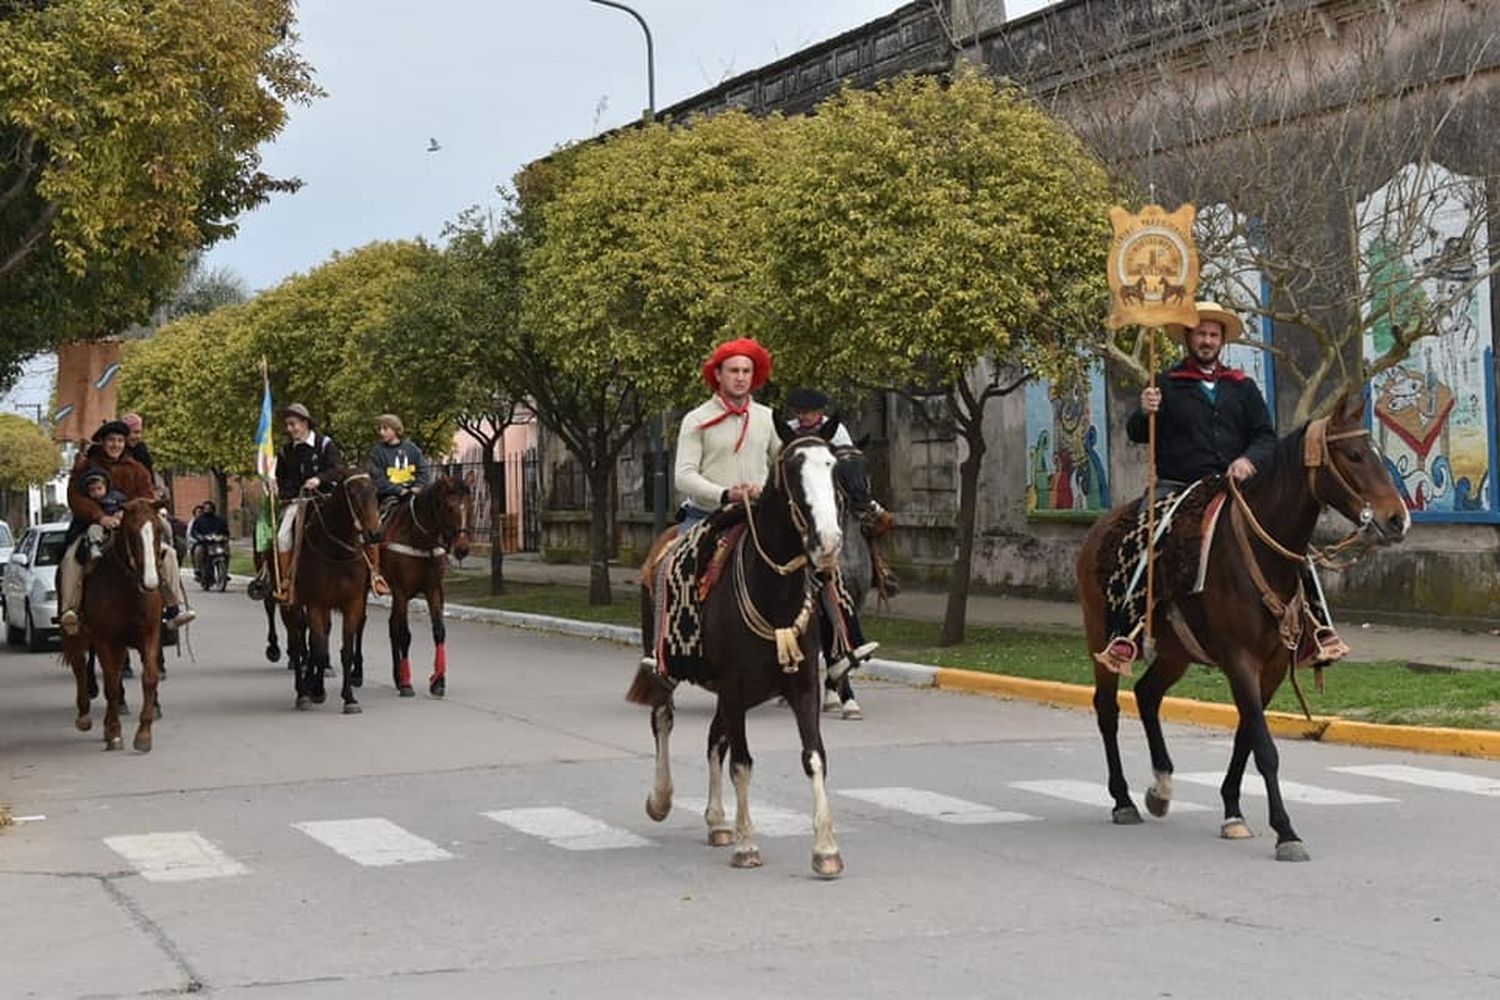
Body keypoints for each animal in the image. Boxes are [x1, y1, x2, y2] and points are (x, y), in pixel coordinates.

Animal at [63, 500, 168, 749]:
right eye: (130, 532)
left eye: (159, 530)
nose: (151, 582)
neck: (128, 588)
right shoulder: (104, 639)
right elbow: (110, 684)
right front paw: (114, 732)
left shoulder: (150, 634)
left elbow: (149, 678)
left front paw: (144, 733)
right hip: (77, 635)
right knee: (80, 668)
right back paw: (84, 716)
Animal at [283, 476, 384, 710]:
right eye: (353, 494)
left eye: (375, 492)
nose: (375, 534)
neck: (336, 552)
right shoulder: (316, 603)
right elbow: (318, 649)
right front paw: (315, 691)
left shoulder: (353, 603)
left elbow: (344, 650)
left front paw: (349, 698)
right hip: (293, 604)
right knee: (297, 640)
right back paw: (303, 690)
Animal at [381, 476, 468, 695]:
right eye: (449, 507)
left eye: (468, 505)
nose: (463, 549)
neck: (419, 540)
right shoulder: (401, 592)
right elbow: (404, 634)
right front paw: (406, 683)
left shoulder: (434, 590)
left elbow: (439, 631)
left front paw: (438, 680)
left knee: (391, 625)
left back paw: (396, 677)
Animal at [627, 422, 852, 875]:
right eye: (792, 469)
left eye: (834, 467)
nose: (828, 542)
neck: (773, 593)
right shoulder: (733, 685)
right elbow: (743, 763)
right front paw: (748, 844)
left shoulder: (801, 686)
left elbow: (814, 756)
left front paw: (825, 849)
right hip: (667, 667)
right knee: (663, 720)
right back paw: (661, 799)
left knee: (715, 738)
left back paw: (717, 821)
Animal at [1080, 395, 1404, 863]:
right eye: (1356, 455)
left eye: (1377, 451)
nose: (1397, 520)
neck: (1260, 552)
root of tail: (1098, 530)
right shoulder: (1239, 660)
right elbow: (1264, 747)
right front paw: (1286, 831)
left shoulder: (1272, 665)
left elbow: (1246, 738)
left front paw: (1233, 812)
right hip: (1102, 634)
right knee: (1108, 708)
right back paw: (1122, 800)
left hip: (1176, 652)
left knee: (1146, 695)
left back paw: (1161, 788)